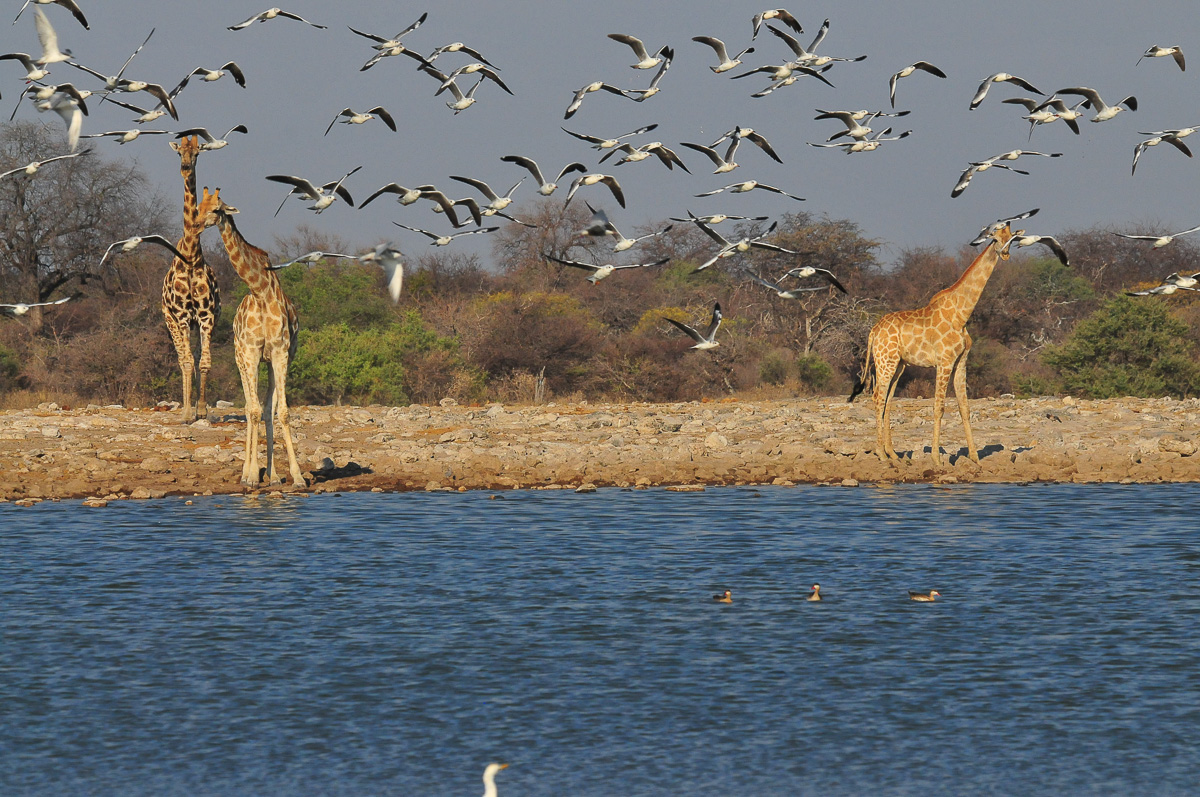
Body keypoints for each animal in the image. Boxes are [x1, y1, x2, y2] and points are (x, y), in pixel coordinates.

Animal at [200, 188, 305, 487]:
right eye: (198, 206)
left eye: (216, 209)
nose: (196, 225)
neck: (260, 291)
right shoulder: (251, 352)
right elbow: (253, 410)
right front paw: (251, 476)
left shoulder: (280, 352)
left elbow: (281, 411)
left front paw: (295, 476)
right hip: (241, 359)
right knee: (250, 407)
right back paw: (249, 472)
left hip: (270, 361)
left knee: (266, 407)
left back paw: (273, 475)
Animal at [849, 220, 1016, 466]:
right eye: (995, 238)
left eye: (1011, 238)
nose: (1005, 254)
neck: (961, 314)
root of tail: (873, 331)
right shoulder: (944, 362)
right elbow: (939, 407)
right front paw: (937, 459)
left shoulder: (961, 362)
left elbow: (965, 408)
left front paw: (975, 458)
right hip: (885, 361)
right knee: (878, 397)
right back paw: (881, 454)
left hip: (898, 365)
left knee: (887, 400)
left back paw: (893, 454)